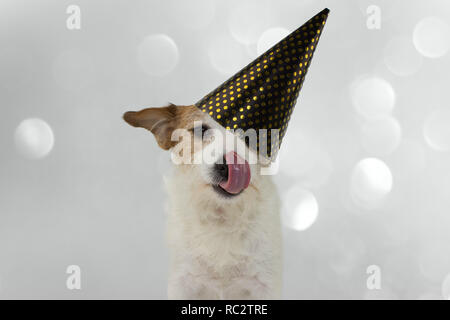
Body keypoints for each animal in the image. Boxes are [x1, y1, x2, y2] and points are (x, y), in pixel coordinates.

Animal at [123, 104, 282, 298]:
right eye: (200, 130)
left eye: (255, 136)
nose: (227, 166)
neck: (220, 214)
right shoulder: (182, 282)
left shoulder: (265, 284)